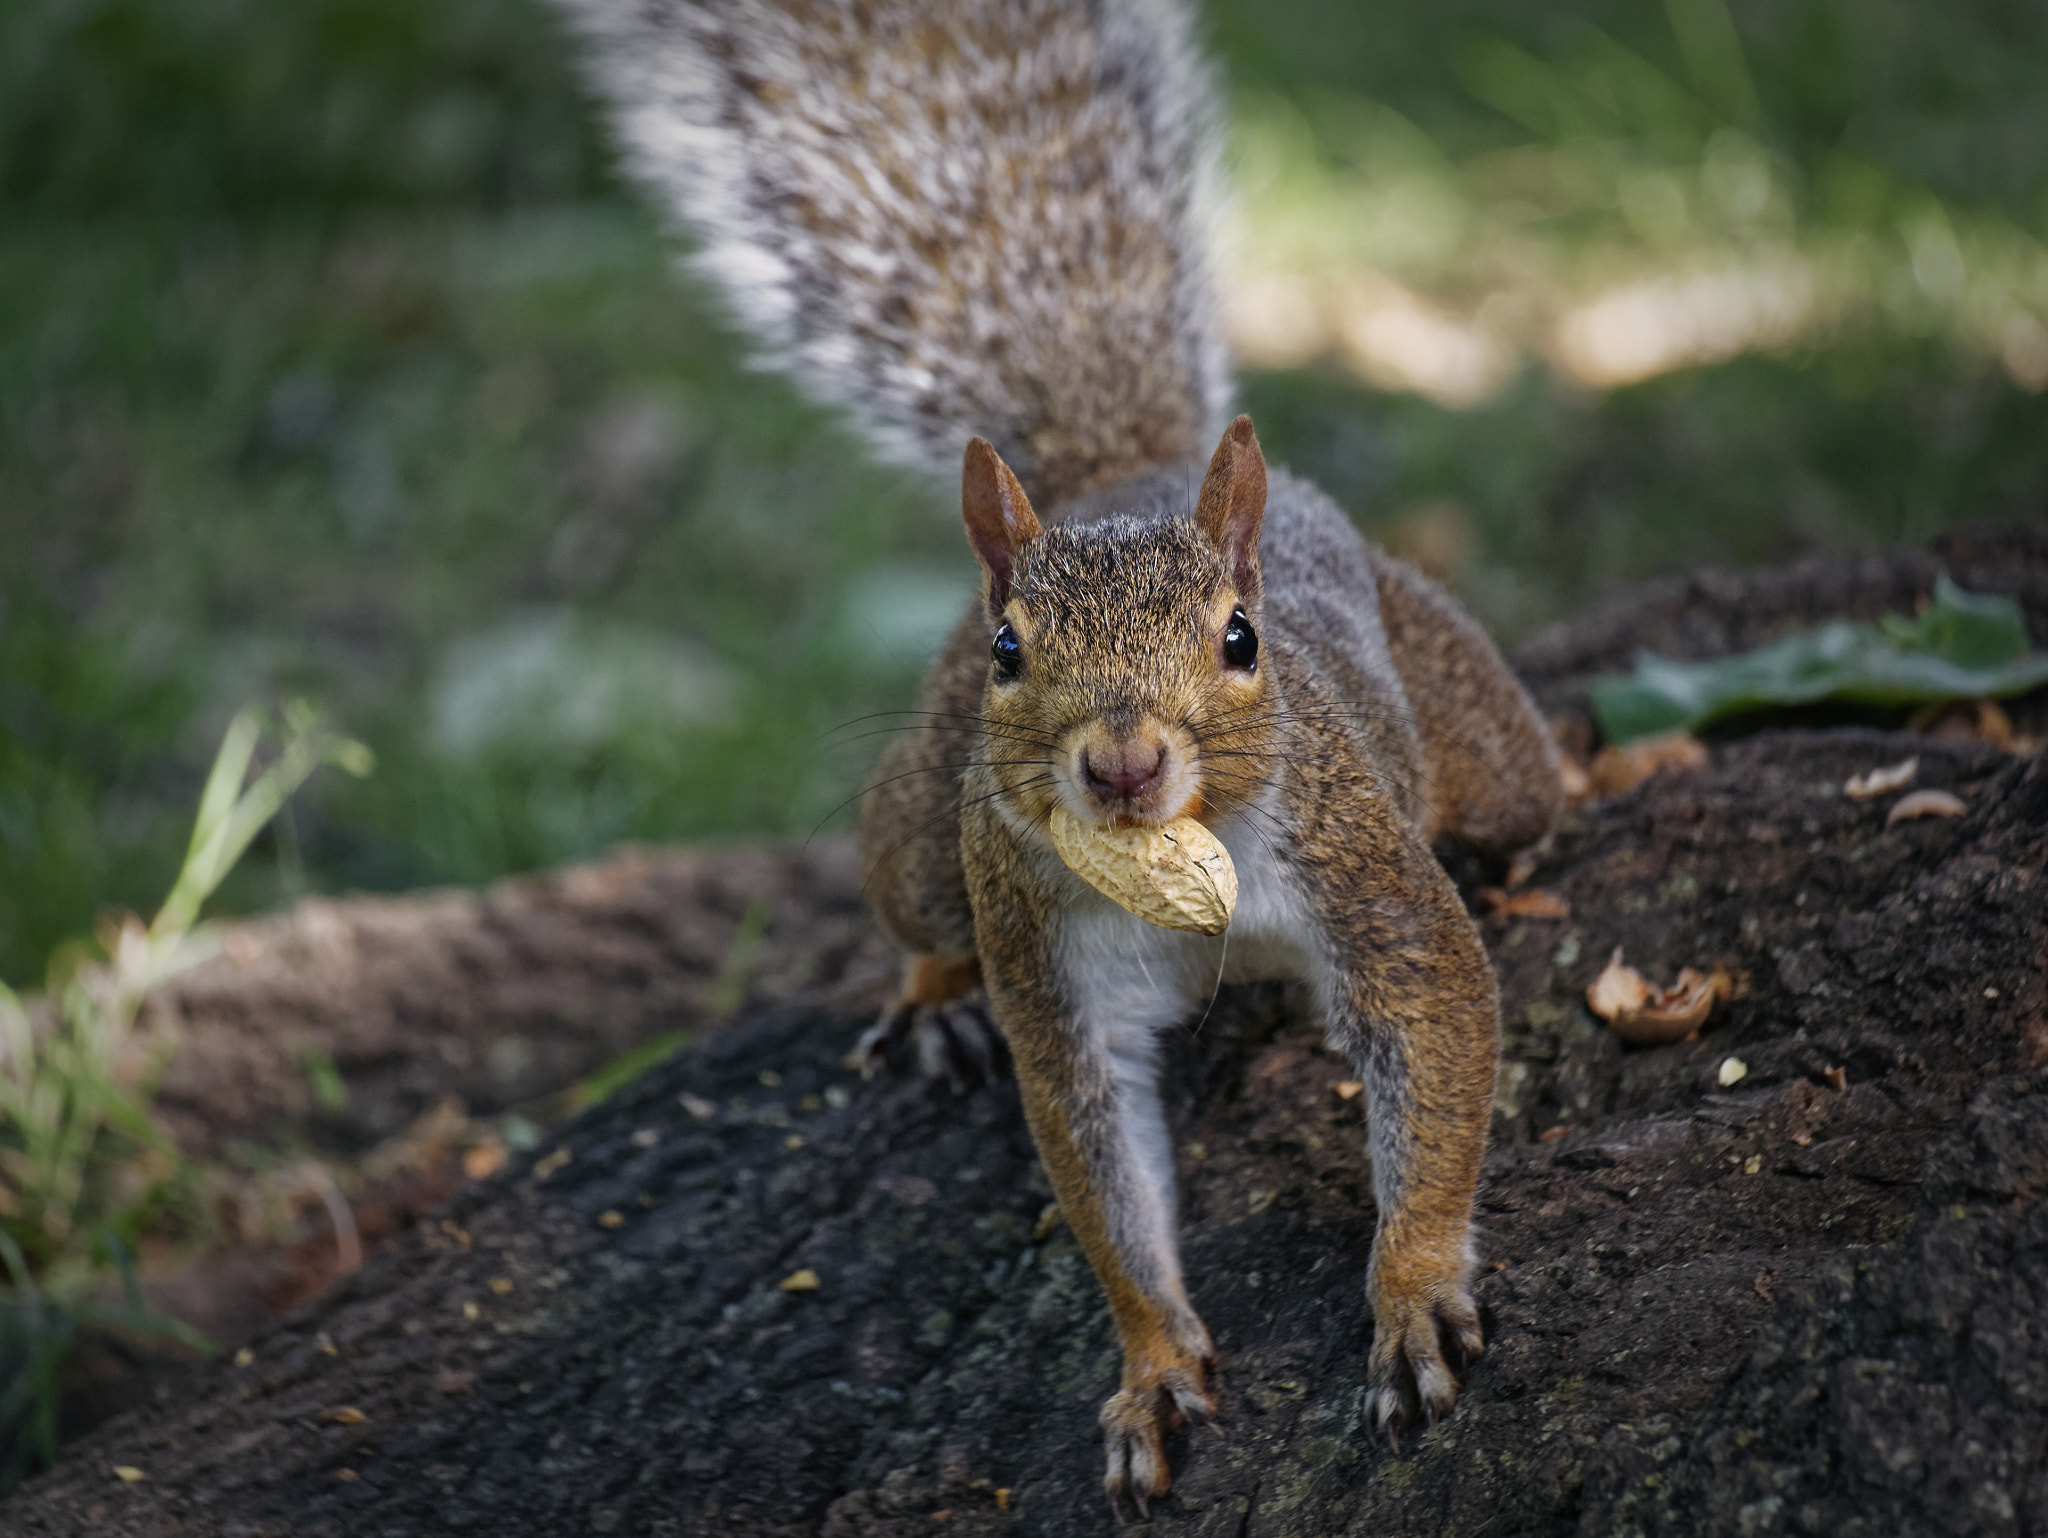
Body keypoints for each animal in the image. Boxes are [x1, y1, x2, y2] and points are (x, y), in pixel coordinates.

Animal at [553, 0, 1562, 1510]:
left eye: (1242, 637)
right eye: (1007, 649)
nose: (1125, 764)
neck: (1182, 868)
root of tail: (1124, 472)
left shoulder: (1359, 864)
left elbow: (1432, 1024)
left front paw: (1413, 1289)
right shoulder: (1050, 954)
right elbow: (1096, 1158)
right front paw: (1152, 1367)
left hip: (1476, 744)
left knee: (1524, 793)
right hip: (926, 825)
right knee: (915, 909)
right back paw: (932, 998)